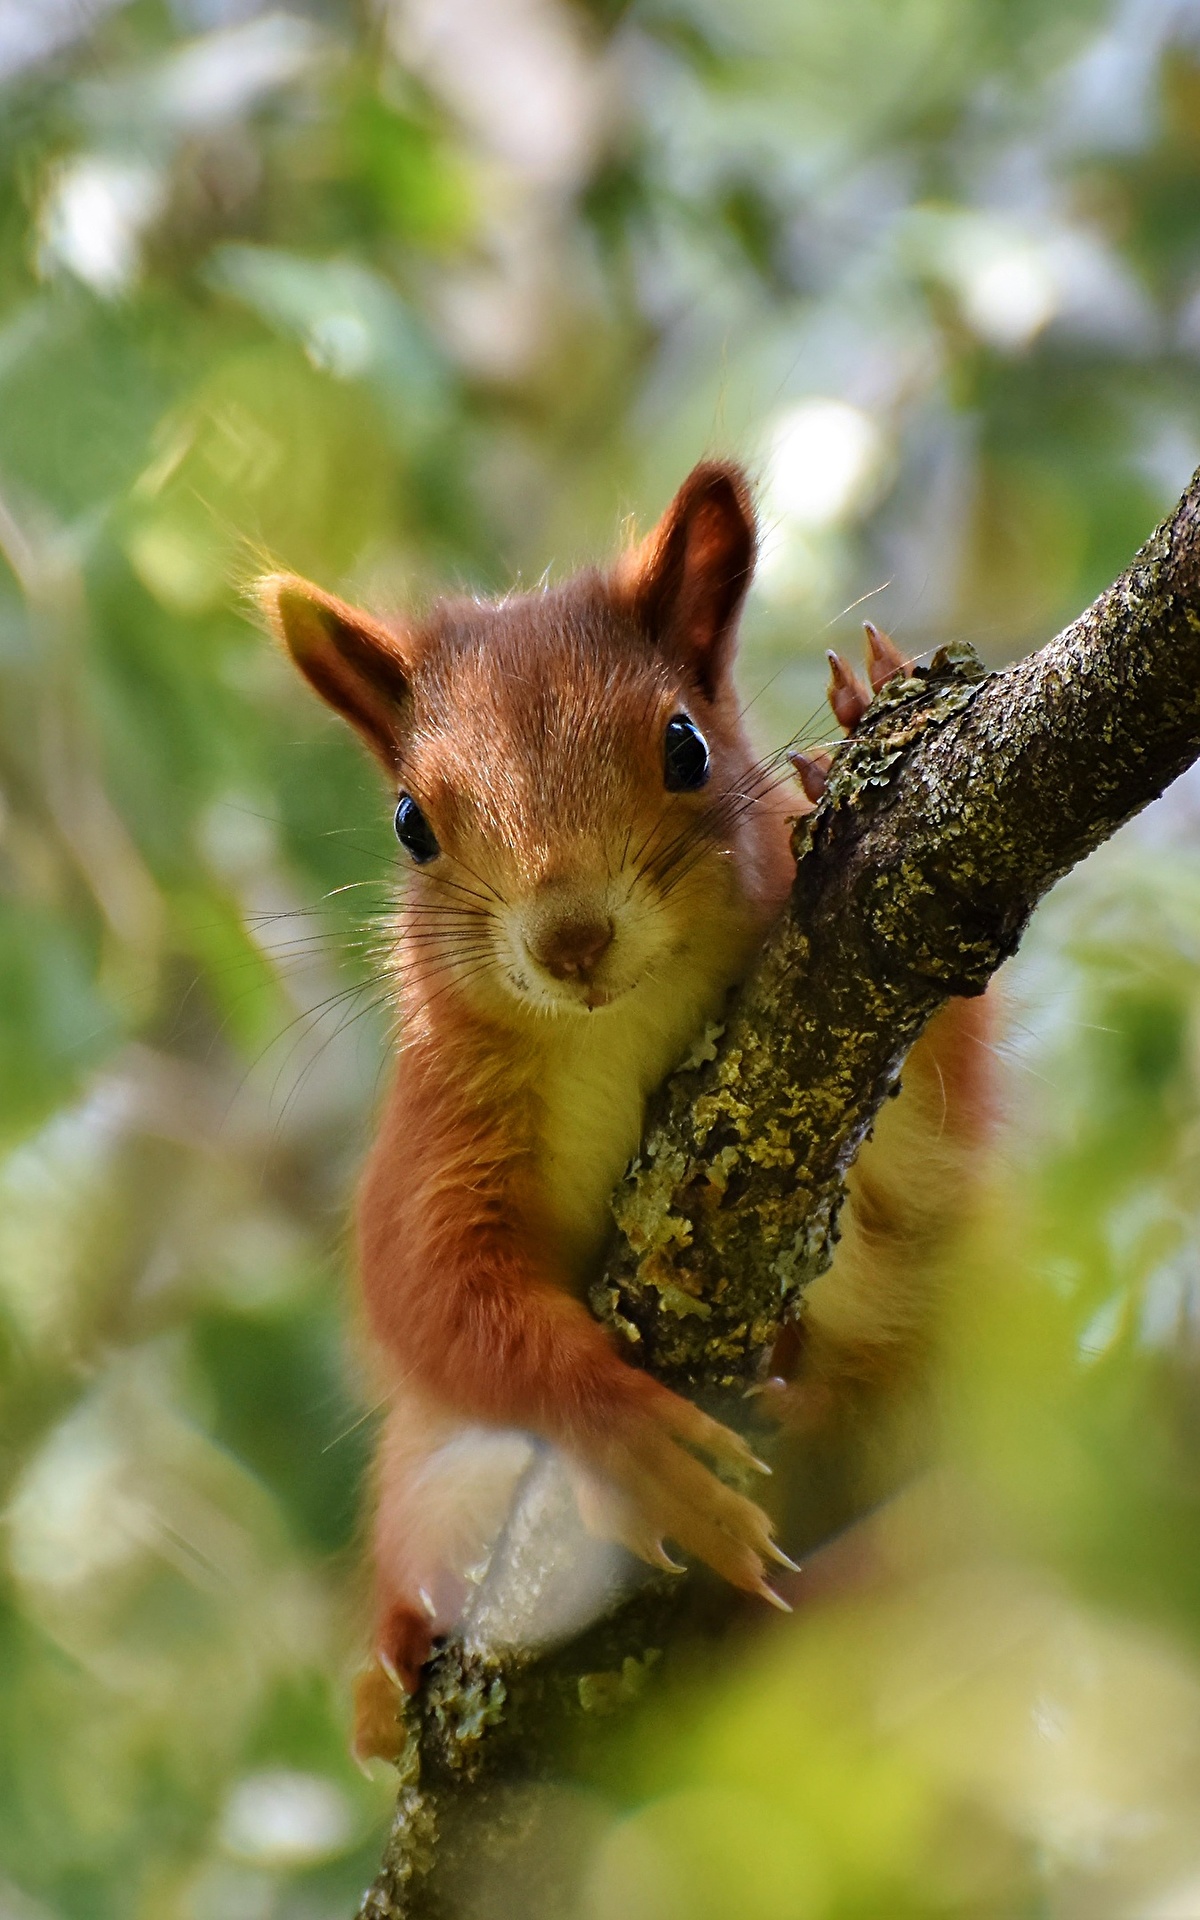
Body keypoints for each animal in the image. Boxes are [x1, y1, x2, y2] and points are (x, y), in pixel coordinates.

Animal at [257, 464, 990, 1758]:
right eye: (411, 822)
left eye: (686, 744)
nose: (572, 937)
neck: (613, 1024)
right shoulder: (437, 1134)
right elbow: (434, 1296)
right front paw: (625, 1435)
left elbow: (930, 1138)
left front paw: (851, 743)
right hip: (422, 1485)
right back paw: (389, 1677)